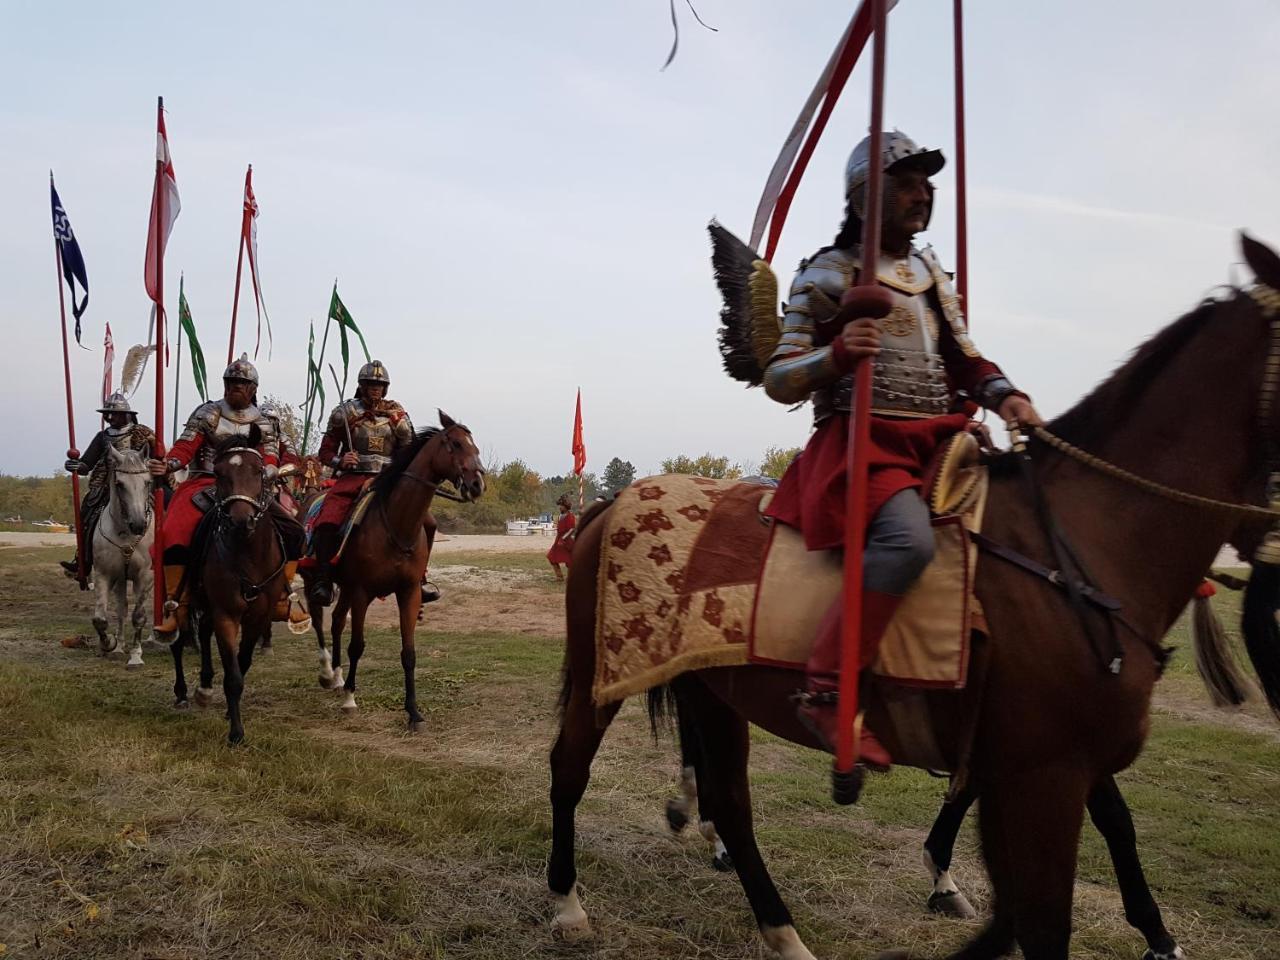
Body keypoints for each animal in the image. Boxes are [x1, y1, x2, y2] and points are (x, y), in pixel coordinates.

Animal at [167, 427, 290, 742]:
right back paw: (183, 692)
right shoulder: (226, 613)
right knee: (178, 639)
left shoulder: (258, 615)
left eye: (258, 470)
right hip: (182, 600)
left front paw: (227, 712)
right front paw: (236, 733)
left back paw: (204, 686)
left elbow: (242, 663)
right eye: (219, 473)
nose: (240, 521)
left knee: (202, 632)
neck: (247, 554)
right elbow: (233, 675)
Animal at [299, 409, 483, 732]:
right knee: (320, 620)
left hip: (346, 588)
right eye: (456, 444)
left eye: (474, 446)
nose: (477, 484)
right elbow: (357, 645)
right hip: (316, 580)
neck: (396, 523)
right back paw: (327, 673)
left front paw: (413, 712)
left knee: (336, 622)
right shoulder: (362, 592)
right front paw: (350, 699)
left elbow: (408, 653)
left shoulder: (407, 592)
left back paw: (338, 676)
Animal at [547, 235, 1280, 960]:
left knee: (728, 800)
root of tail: (611, 505)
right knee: (571, 765)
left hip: (711, 690)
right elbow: (1051, 906)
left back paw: (780, 928)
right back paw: (568, 904)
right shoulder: (1046, 773)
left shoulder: (1033, 763)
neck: (1078, 545)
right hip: (603, 676)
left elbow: (1046, 878)